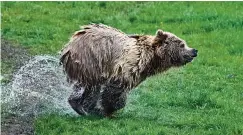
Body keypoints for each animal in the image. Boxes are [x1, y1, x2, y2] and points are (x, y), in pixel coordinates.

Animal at [60, 23, 197, 116]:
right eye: (182, 44)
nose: (194, 51)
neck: (150, 58)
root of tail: (70, 45)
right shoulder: (128, 64)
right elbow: (116, 89)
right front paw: (109, 108)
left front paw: (102, 108)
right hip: (91, 60)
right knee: (91, 85)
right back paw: (81, 106)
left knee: (90, 87)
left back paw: (81, 105)